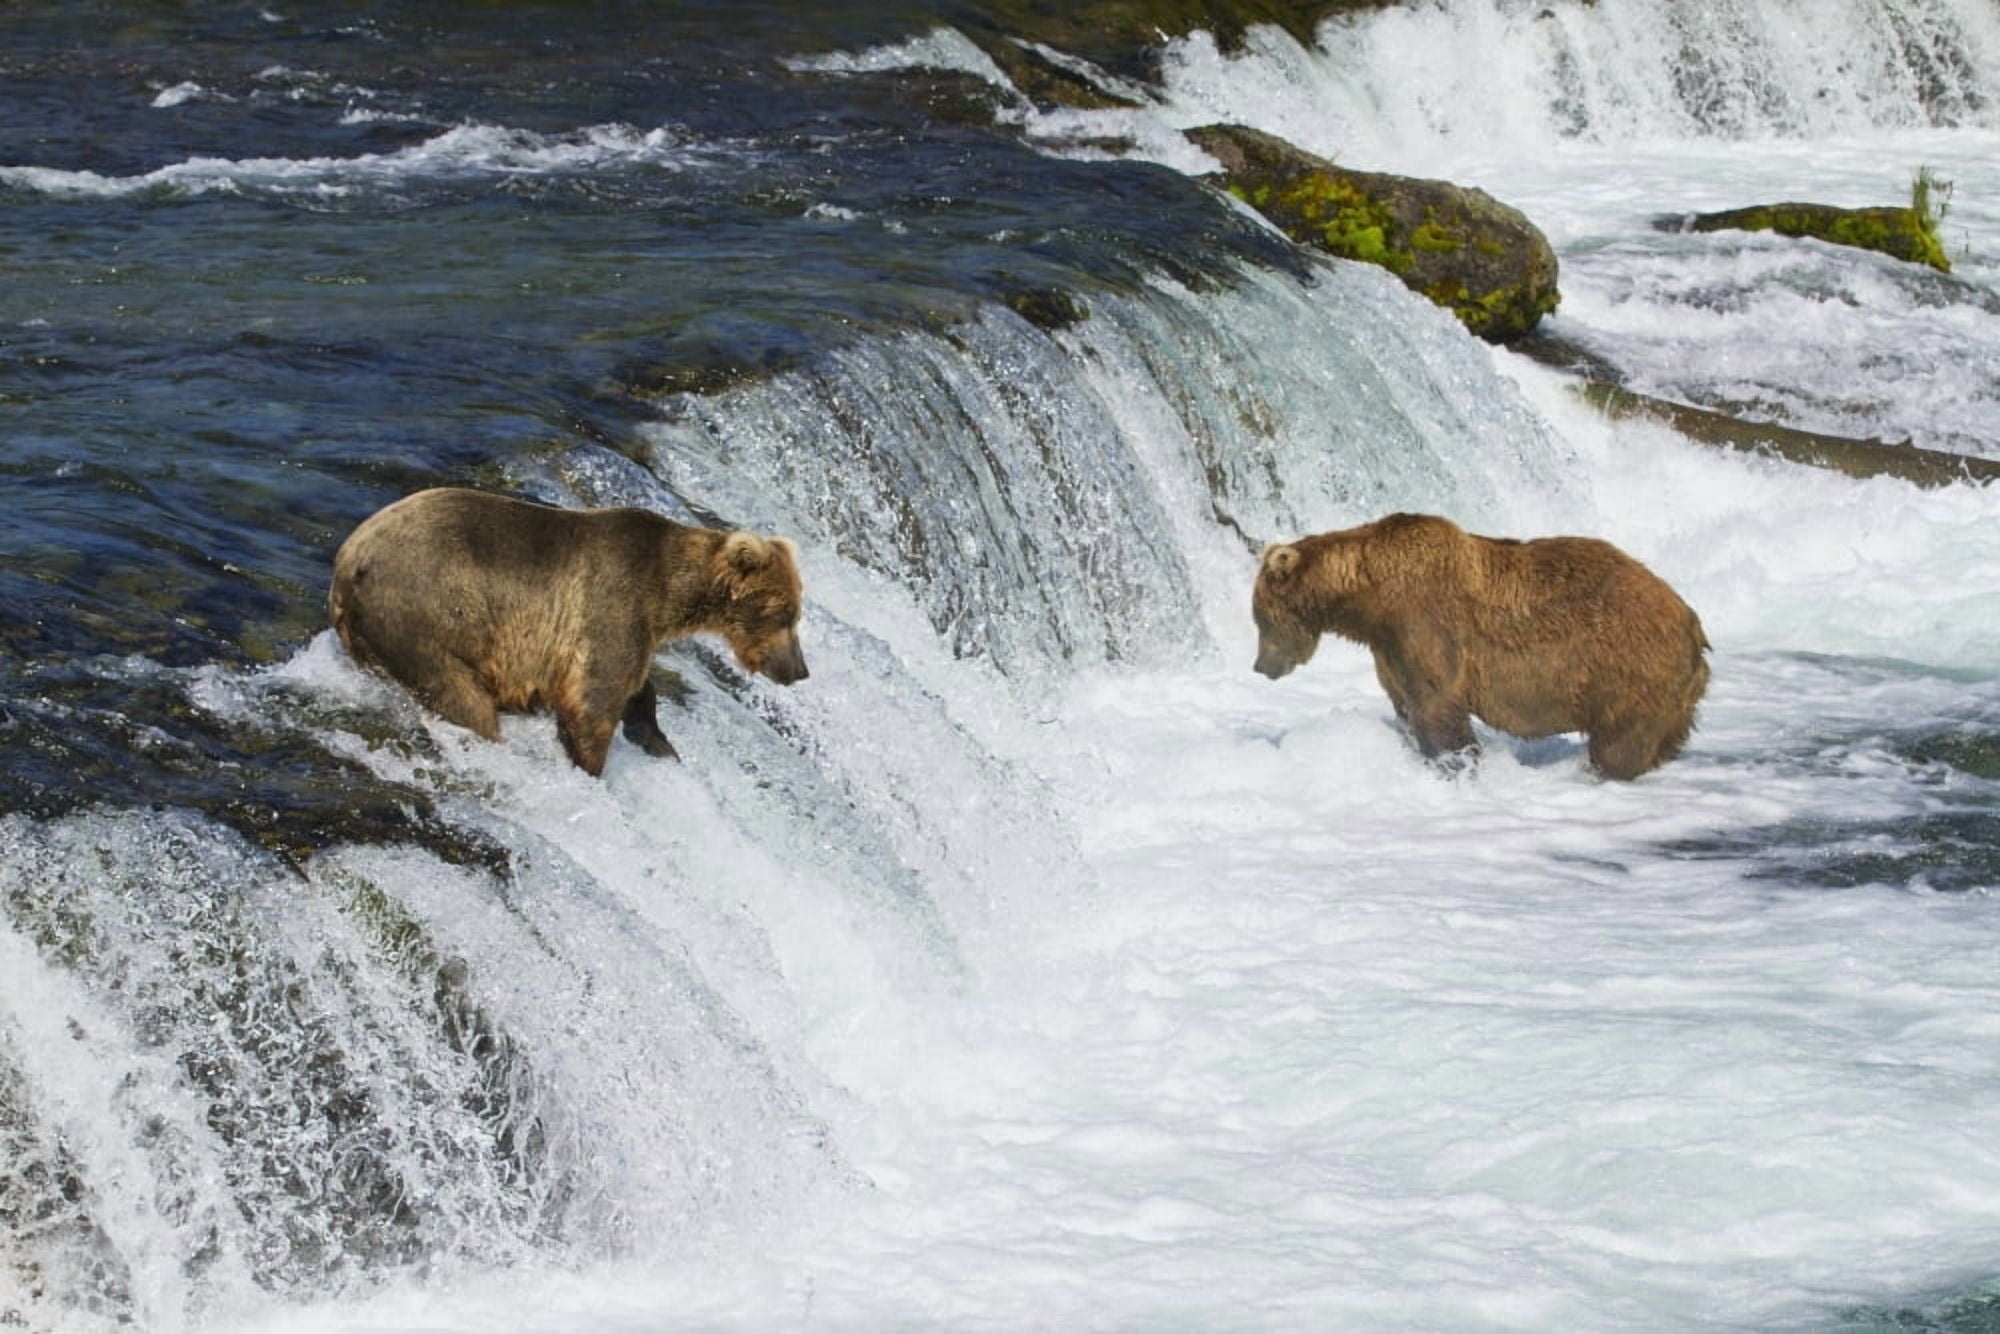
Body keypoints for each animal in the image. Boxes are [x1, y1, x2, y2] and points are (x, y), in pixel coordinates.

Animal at [329, 487, 808, 777]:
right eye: (786, 613)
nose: (799, 670)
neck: (667, 595)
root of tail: (346, 564)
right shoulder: (611, 604)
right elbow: (593, 703)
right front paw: (590, 766)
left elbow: (635, 687)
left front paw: (657, 739)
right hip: (423, 617)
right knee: (461, 698)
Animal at [1251, 512, 1709, 780]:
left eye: (1258, 617)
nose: (1260, 666)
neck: (1371, 601)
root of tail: (1691, 622)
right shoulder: (1389, 648)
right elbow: (1406, 702)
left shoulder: (1424, 623)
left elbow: (1438, 704)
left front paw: (1457, 763)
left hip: (1626, 669)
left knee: (1618, 744)